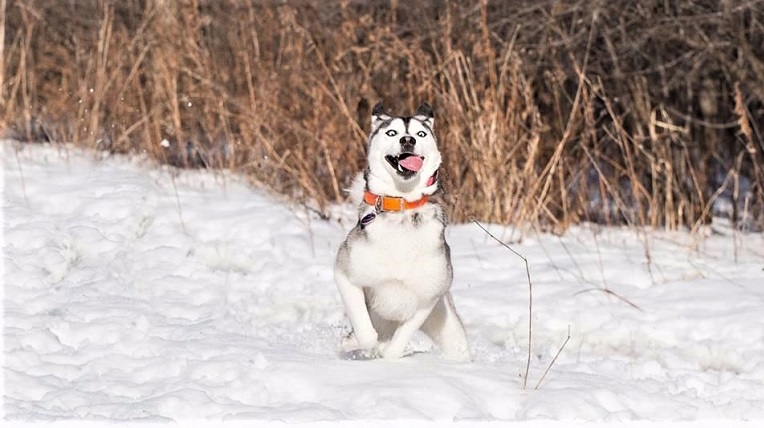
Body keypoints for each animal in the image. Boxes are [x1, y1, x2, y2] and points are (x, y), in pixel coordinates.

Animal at [336, 102, 472, 360]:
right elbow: (365, 330)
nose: (408, 140)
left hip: (449, 329)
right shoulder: (346, 274)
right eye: (392, 132)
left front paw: (388, 353)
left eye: (421, 134)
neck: (402, 206)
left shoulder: (429, 297)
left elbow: (401, 337)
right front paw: (365, 344)